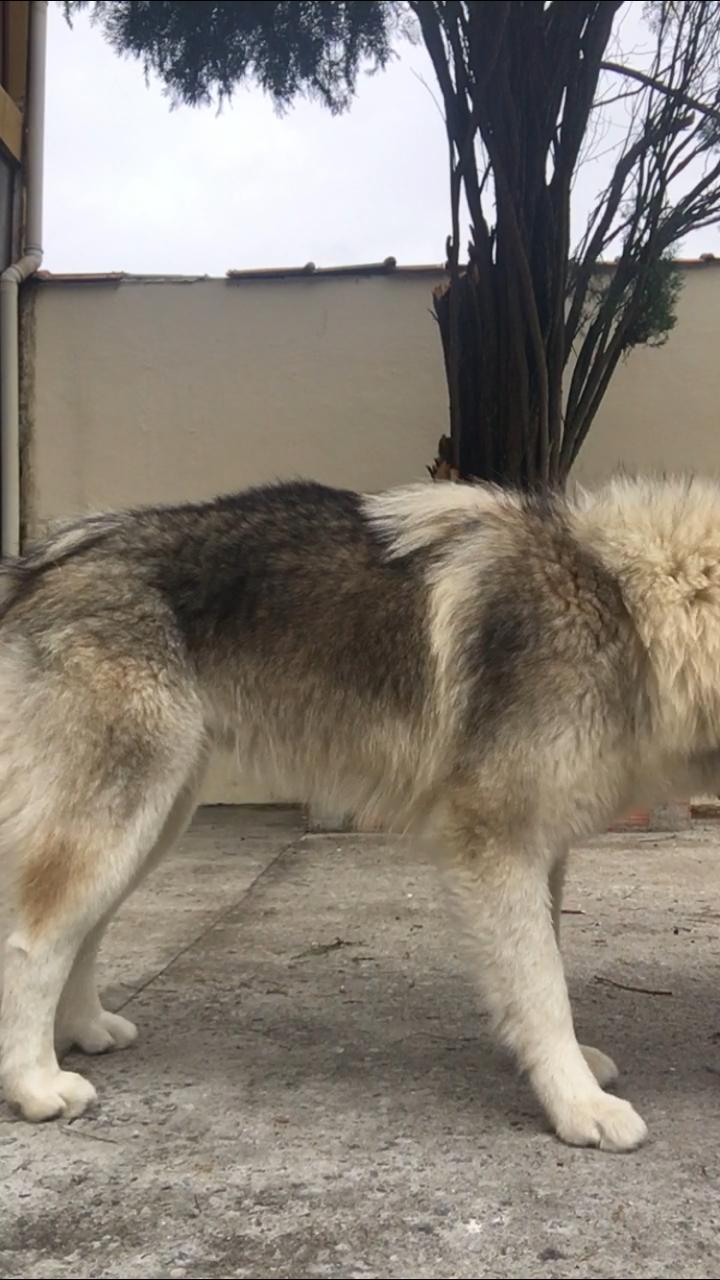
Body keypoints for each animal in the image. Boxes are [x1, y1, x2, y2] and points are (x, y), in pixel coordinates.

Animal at [1, 472, 719, 1151]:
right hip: (119, 815)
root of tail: (42, 562)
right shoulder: (496, 842)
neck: (624, 601)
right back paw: (36, 1084)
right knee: (33, 940)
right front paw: (577, 1105)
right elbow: (543, 986)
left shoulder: (540, 847)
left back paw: (85, 1029)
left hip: (152, 820)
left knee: (83, 928)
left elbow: (540, 968)